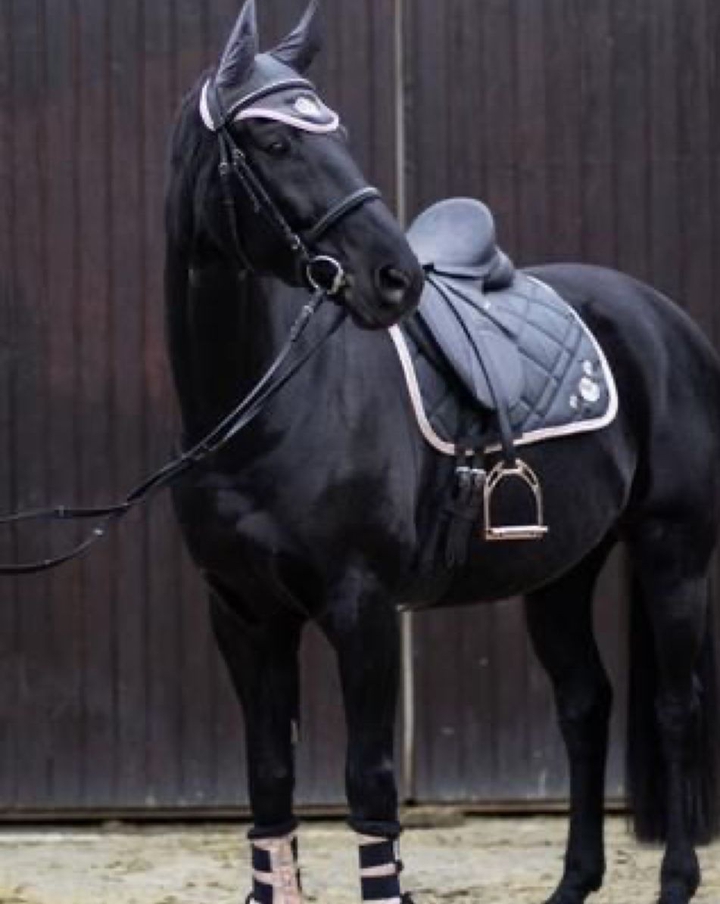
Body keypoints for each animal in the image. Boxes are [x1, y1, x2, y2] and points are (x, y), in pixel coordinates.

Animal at [164, 2, 720, 902]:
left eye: (339, 131)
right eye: (274, 140)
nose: (395, 278)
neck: (264, 412)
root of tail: (661, 319)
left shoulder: (360, 608)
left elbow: (370, 783)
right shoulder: (244, 614)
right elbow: (269, 784)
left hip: (673, 552)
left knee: (676, 707)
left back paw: (674, 882)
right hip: (561, 571)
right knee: (585, 705)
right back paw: (572, 883)